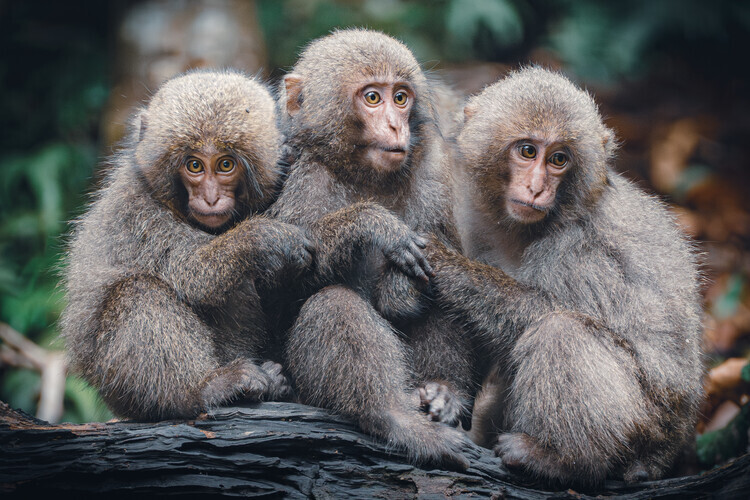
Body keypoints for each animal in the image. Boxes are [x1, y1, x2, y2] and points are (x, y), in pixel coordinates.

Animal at [60, 70, 314, 421]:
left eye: (225, 165)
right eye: (194, 166)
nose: (210, 198)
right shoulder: (140, 214)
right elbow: (193, 273)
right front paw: (264, 239)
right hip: (118, 385)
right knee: (138, 292)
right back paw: (202, 389)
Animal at [268, 29, 478, 468]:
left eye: (400, 97)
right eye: (372, 98)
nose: (396, 127)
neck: (363, 176)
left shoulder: (433, 176)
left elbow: (435, 263)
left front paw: (400, 286)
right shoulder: (304, 180)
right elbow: (281, 291)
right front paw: (372, 224)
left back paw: (443, 391)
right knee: (333, 303)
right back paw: (395, 419)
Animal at [423, 67, 704, 485]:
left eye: (558, 159)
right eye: (528, 151)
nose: (538, 187)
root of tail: (671, 447)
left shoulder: (575, 249)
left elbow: (538, 312)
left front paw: (445, 265)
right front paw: (449, 394)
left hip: (647, 424)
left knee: (562, 331)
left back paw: (561, 460)